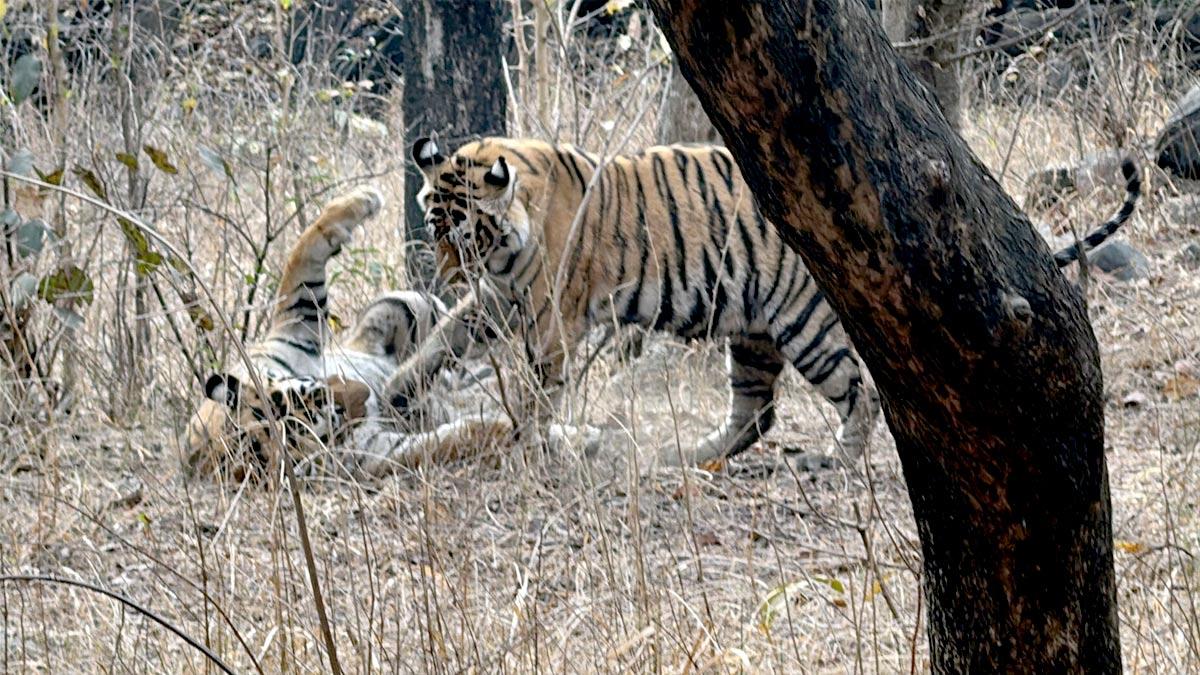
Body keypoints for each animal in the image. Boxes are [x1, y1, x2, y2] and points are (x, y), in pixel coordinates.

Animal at [185, 186, 564, 481]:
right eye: (330, 422)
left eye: (314, 391)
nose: (367, 395)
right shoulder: (378, 453)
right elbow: (449, 439)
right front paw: (520, 430)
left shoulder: (293, 328)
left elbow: (304, 255)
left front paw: (361, 200)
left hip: (405, 304)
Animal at [385, 136, 1142, 468]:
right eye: (435, 230)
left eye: (466, 237)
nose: (445, 277)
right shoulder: (499, 298)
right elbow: (445, 338)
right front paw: (399, 389)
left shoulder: (550, 318)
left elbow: (537, 388)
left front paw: (524, 446)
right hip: (750, 329)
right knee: (757, 411)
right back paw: (694, 454)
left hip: (806, 324)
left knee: (858, 391)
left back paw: (835, 458)